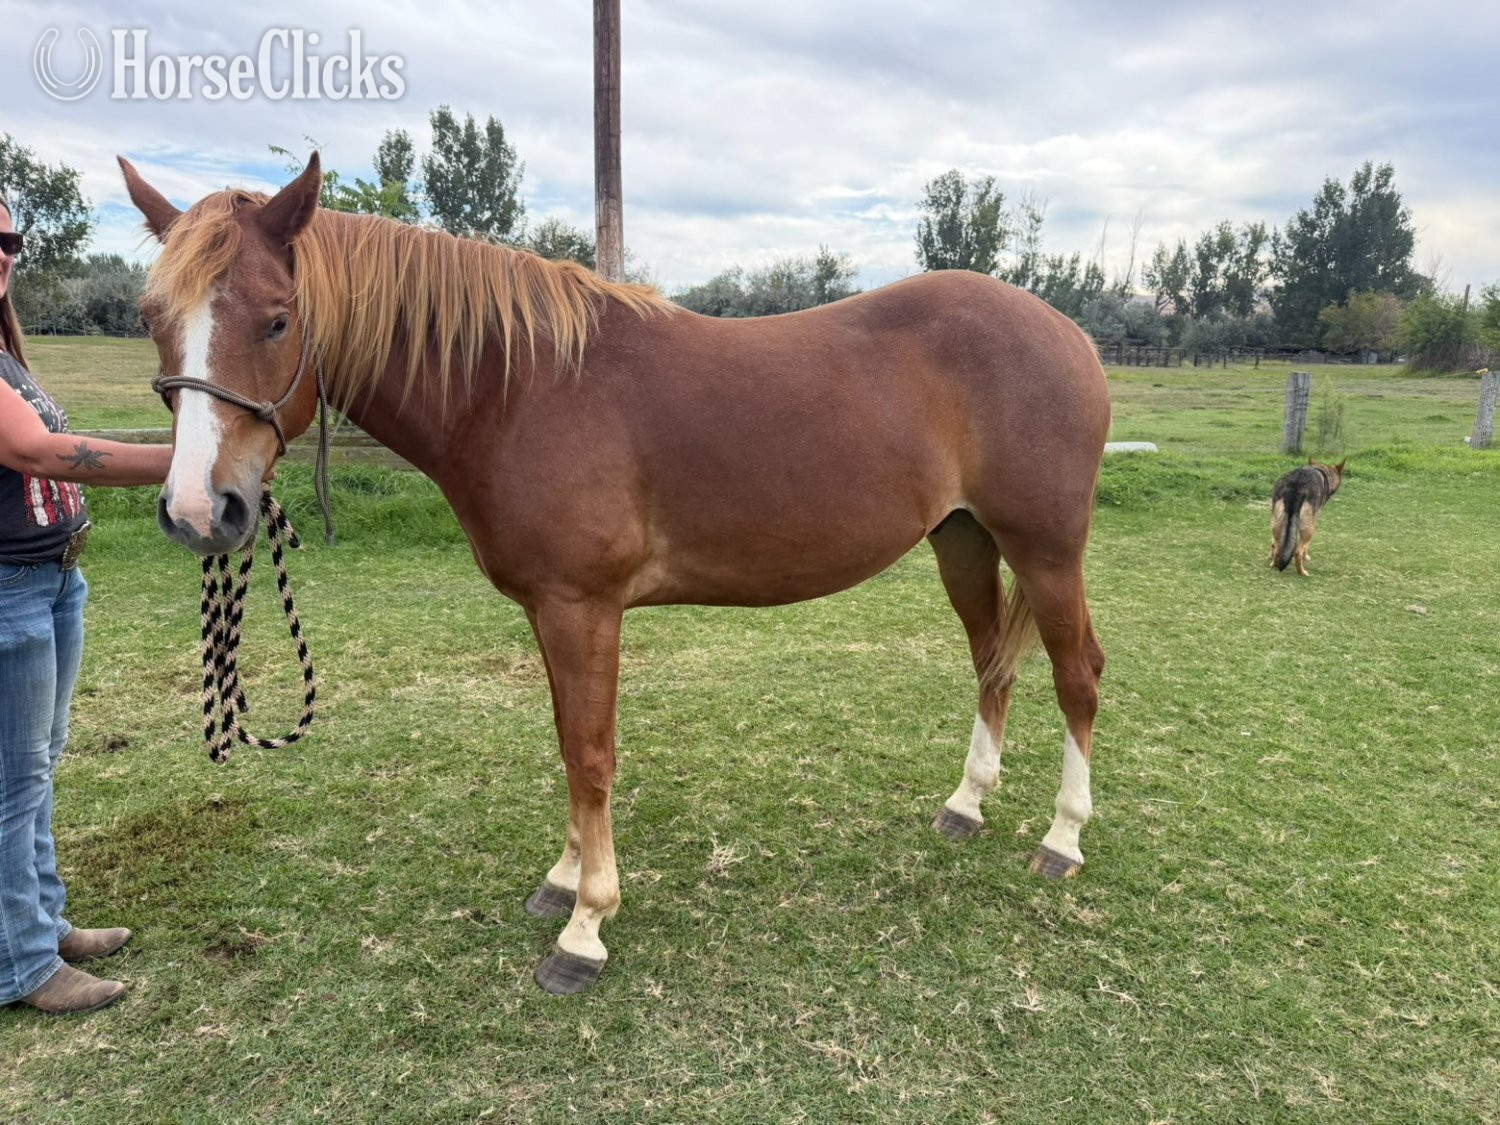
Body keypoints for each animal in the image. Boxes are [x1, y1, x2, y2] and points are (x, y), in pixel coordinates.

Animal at [119, 154, 1110, 995]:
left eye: (277, 317)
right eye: (151, 319)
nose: (201, 512)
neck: (519, 387)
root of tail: (1070, 335)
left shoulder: (583, 607)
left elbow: (590, 754)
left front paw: (586, 927)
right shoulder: (550, 610)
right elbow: (567, 741)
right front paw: (563, 881)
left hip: (1045, 548)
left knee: (1077, 674)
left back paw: (1062, 836)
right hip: (963, 540)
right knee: (993, 663)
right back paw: (967, 804)